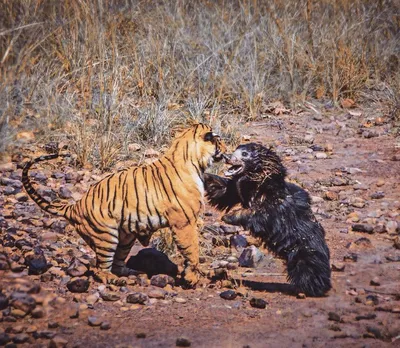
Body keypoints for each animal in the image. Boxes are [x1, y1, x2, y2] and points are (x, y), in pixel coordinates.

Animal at [21, 123, 227, 284]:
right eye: (219, 140)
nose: (227, 148)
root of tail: (74, 206)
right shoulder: (184, 222)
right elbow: (192, 249)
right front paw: (192, 278)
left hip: (125, 238)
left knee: (118, 264)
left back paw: (135, 273)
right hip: (106, 236)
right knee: (100, 269)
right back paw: (115, 280)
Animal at [205, 143, 332, 298]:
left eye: (245, 154)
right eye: (235, 150)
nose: (226, 156)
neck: (258, 183)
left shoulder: (276, 208)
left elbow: (260, 216)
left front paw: (229, 216)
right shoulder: (239, 189)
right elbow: (223, 191)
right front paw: (204, 175)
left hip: (305, 252)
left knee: (308, 271)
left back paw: (310, 289)